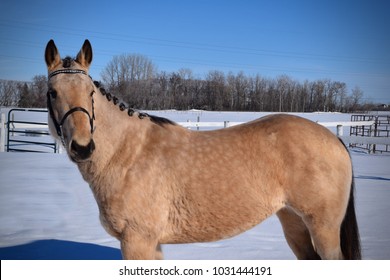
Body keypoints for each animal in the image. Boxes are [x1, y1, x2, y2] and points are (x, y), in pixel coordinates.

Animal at [44, 38, 362, 260]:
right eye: (53, 92)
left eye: (90, 92)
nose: (83, 147)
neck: (128, 155)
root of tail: (332, 138)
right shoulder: (151, 243)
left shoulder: (137, 241)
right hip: (294, 222)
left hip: (323, 229)